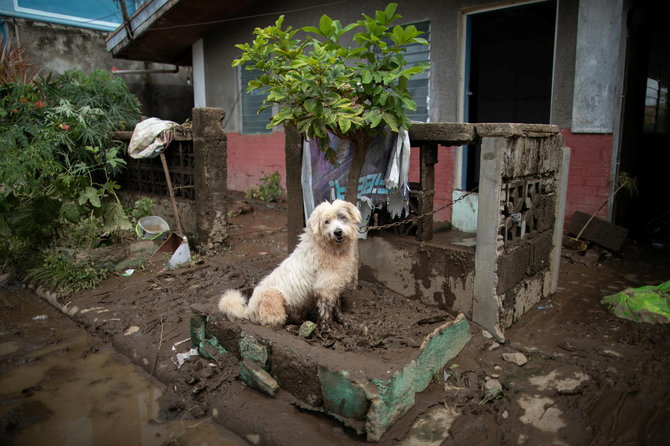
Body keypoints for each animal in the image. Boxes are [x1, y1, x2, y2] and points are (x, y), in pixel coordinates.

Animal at [219, 200, 362, 326]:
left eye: (342, 217)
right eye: (326, 221)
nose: (337, 232)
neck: (327, 247)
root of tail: (249, 311)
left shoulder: (334, 285)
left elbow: (336, 307)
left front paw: (343, 322)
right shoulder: (324, 287)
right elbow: (325, 312)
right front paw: (327, 330)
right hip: (272, 295)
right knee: (271, 320)